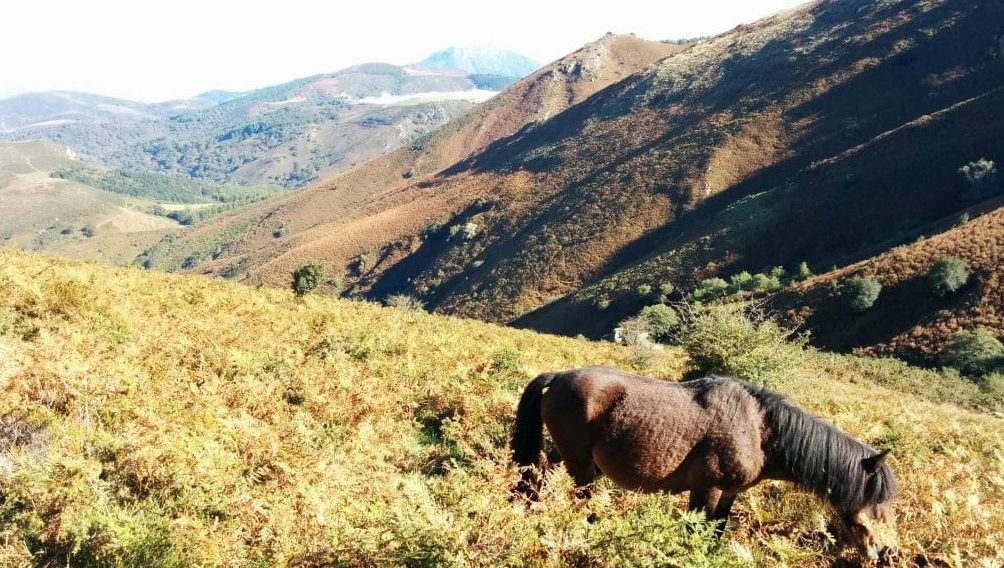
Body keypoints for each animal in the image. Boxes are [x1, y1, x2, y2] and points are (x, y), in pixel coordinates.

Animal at [514, 367, 899, 561]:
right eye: (877, 507)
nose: (888, 553)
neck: (757, 427)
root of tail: (559, 376)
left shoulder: (728, 493)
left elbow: (716, 530)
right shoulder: (707, 489)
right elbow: (695, 531)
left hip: (567, 458)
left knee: (541, 476)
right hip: (580, 465)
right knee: (580, 501)